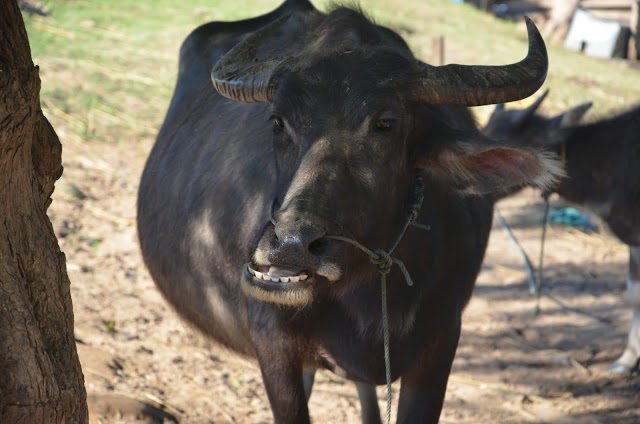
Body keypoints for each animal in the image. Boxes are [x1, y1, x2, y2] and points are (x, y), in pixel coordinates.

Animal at [139, 1, 560, 422]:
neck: (367, 296)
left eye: (385, 124)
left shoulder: (440, 347)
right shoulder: (274, 345)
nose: (291, 245)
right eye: (278, 122)